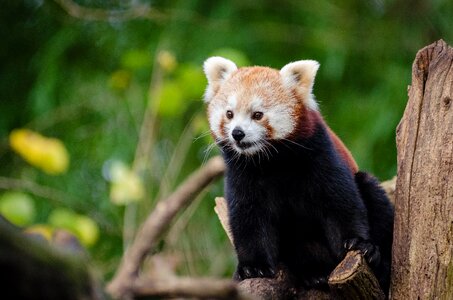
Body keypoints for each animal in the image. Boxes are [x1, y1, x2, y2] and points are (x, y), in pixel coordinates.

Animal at [203, 56, 394, 296]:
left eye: (257, 115)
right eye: (229, 113)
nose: (237, 133)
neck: (271, 162)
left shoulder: (320, 156)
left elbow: (342, 204)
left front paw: (358, 243)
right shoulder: (242, 175)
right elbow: (248, 219)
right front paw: (252, 267)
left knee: (372, 194)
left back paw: (378, 262)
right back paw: (314, 273)